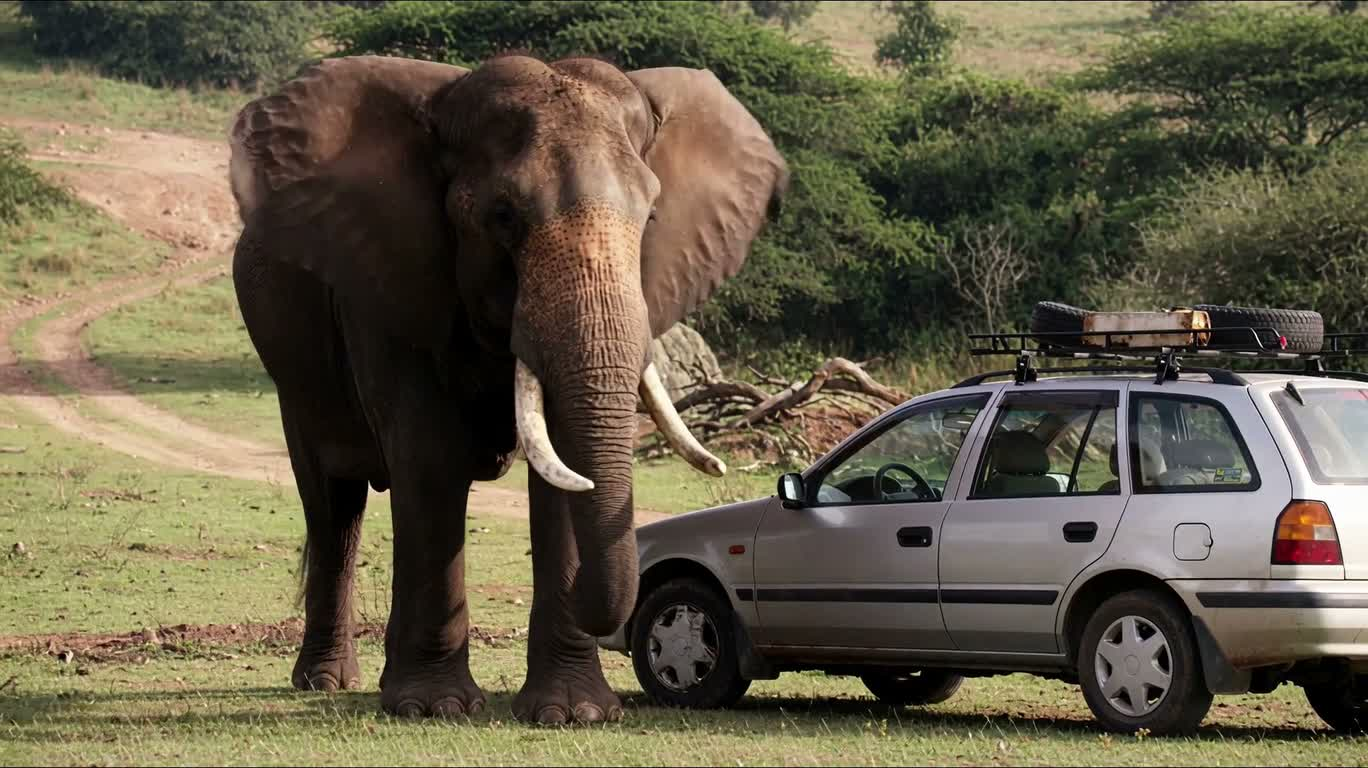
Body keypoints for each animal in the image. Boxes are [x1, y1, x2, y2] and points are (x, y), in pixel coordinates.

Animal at [227, 54, 788, 724]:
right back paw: (327, 681)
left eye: (651, 218)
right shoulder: (389, 288)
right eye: (503, 218)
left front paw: (574, 714)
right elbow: (430, 459)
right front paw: (435, 708)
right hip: (294, 371)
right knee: (333, 503)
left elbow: (562, 472)